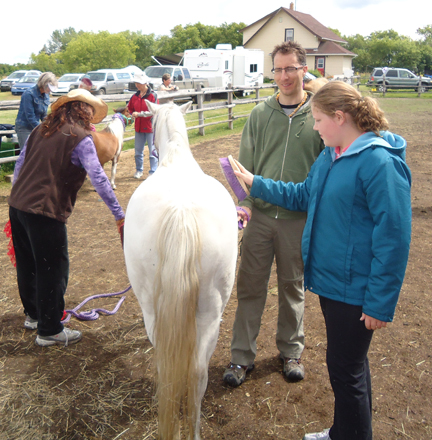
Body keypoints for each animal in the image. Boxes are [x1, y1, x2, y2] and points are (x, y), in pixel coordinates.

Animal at [123, 100, 238, 440]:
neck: (175, 159)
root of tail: (181, 212)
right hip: (211, 312)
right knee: (197, 373)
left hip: (152, 309)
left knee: (167, 369)